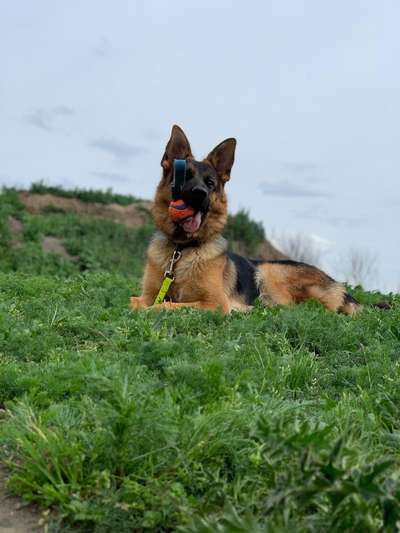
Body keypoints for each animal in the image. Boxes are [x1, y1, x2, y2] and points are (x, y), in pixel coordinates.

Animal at [130, 126, 360, 314]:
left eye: (210, 183)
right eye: (185, 176)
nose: (200, 193)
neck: (181, 250)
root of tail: (337, 283)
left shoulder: (214, 303)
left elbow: (166, 305)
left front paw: (152, 310)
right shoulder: (148, 294)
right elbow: (134, 301)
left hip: (269, 272)